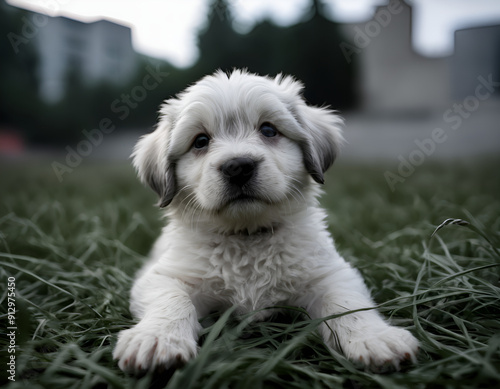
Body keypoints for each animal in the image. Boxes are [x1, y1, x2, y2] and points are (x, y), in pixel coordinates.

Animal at [113, 70, 418, 372]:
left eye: (269, 130)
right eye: (200, 141)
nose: (237, 167)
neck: (247, 235)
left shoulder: (329, 273)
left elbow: (347, 304)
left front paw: (374, 338)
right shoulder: (165, 276)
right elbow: (172, 301)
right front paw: (156, 340)